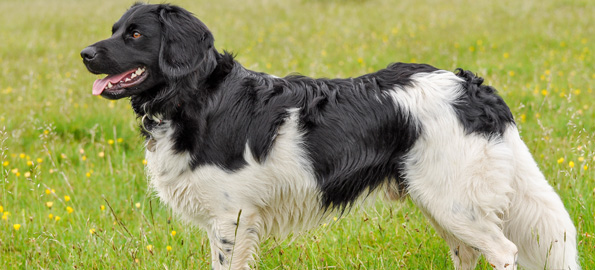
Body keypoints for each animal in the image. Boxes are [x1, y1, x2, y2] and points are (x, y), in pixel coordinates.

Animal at [81, 3, 580, 268]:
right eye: (114, 30)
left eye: (136, 34)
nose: (84, 53)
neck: (199, 97)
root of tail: (473, 86)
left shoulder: (231, 220)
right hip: (446, 203)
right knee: (470, 254)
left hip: (456, 201)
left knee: (504, 252)